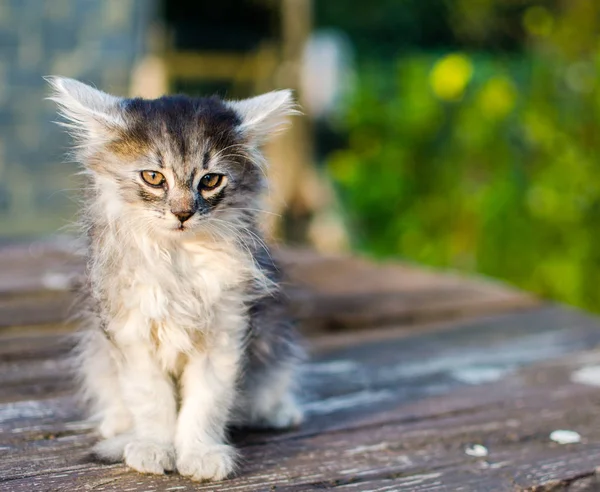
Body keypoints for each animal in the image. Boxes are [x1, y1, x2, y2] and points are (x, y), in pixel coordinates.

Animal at [45, 77, 304, 480]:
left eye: (210, 180)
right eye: (154, 177)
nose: (183, 213)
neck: (178, 259)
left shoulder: (225, 333)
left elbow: (206, 403)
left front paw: (200, 454)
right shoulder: (131, 332)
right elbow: (152, 400)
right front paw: (154, 448)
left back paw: (279, 412)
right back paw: (118, 424)